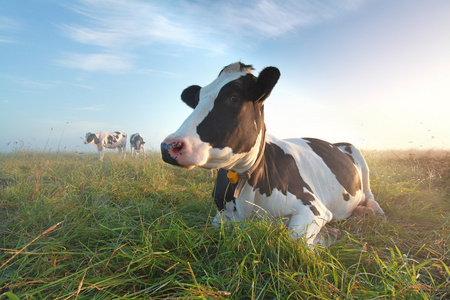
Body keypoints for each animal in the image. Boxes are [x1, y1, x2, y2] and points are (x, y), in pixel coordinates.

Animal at [160, 62, 384, 245]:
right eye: (197, 100)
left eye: (234, 97)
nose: (169, 146)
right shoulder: (221, 213)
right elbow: (216, 226)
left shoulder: (313, 206)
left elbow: (295, 239)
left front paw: (328, 236)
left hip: (358, 156)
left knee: (369, 193)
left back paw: (372, 210)